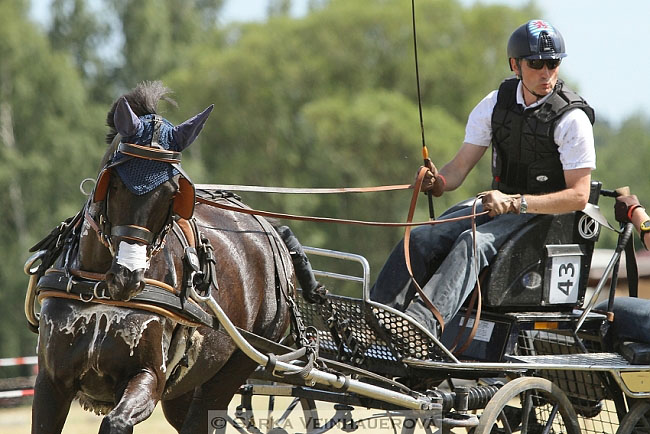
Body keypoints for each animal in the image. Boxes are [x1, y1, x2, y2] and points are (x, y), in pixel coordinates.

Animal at [31, 82, 300, 434]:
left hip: (236, 366)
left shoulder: (149, 377)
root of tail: (270, 230)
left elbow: (116, 421)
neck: (99, 290)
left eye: (173, 192)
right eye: (114, 182)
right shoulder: (51, 382)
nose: (128, 276)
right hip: (186, 390)